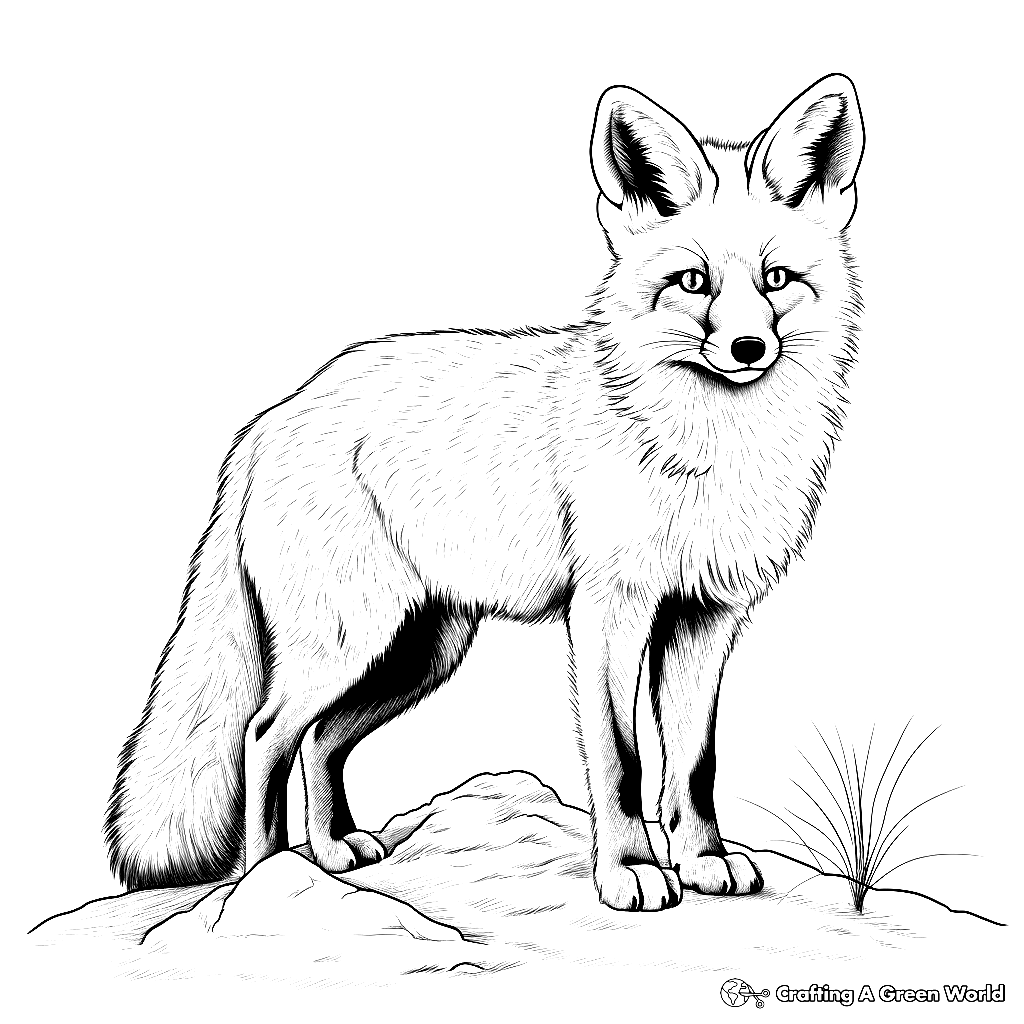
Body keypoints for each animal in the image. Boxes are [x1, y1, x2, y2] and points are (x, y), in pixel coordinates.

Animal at [106, 74, 864, 912]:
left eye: (776, 280)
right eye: (692, 283)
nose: (748, 348)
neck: (705, 450)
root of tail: (272, 418)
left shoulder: (706, 616)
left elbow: (693, 765)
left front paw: (703, 861)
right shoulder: (608, 611)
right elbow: (624, 762)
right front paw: (629, 871)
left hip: (419, 651)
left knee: (321, 739)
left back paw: (333, 852)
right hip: (350, 639)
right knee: (264, 734)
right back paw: (268, 878)